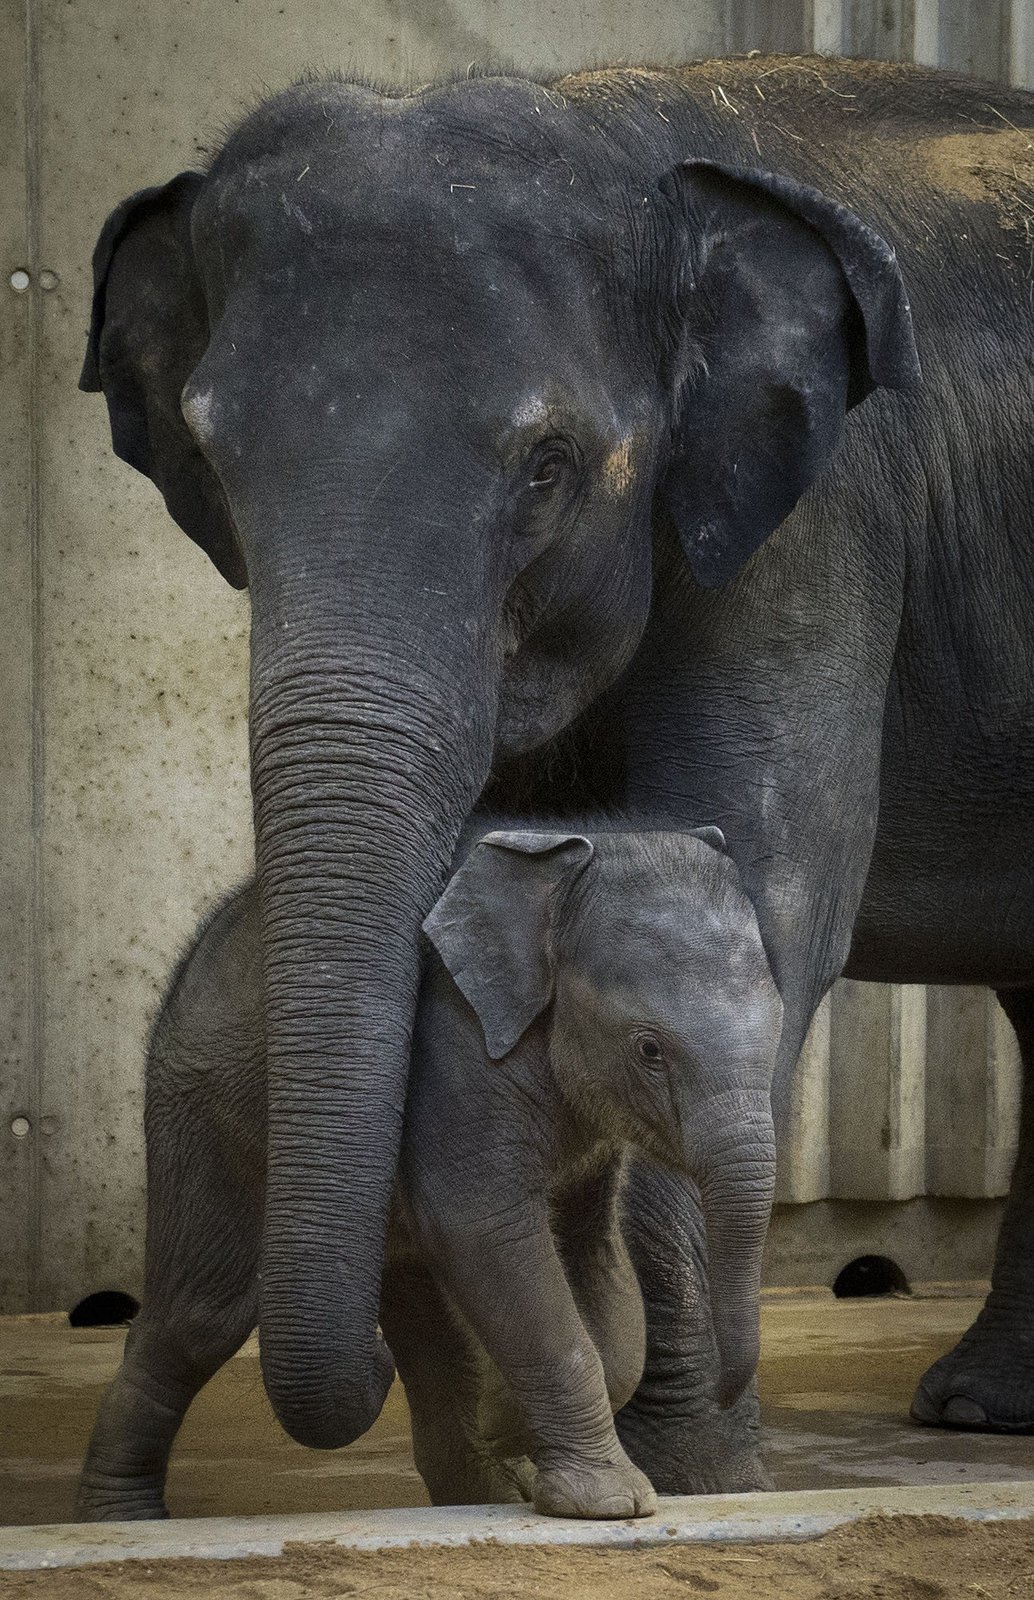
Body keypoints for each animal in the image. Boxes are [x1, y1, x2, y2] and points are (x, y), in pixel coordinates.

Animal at [76, 832, 781, 1516]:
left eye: (778, 1033)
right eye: (650, 1050)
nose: (727, 1391)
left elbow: (594, 1258)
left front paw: (509, 1428)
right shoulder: (455, 1060)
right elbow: (484, 1230)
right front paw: (609, 1504)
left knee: (425, 1327)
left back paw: (483, 1487)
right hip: (203, 1115)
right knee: (199, 1318)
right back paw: (121, 1519)